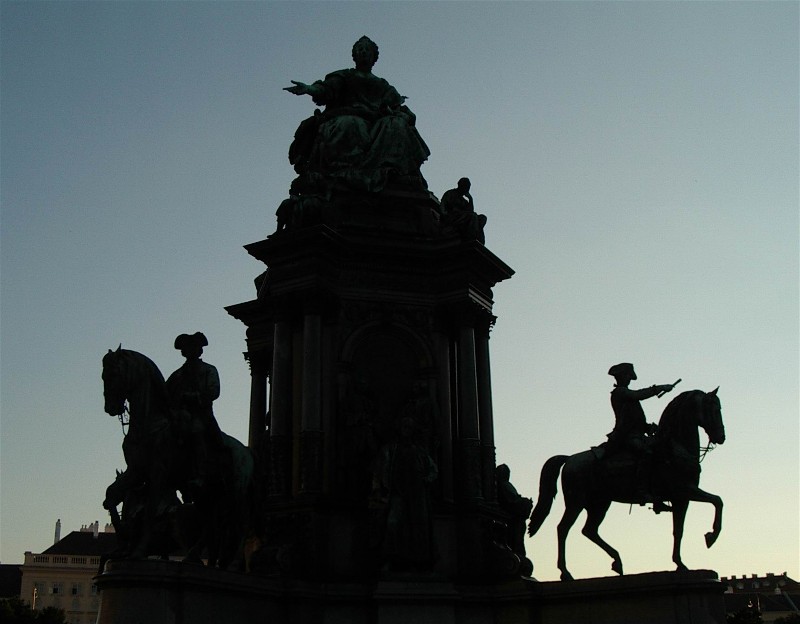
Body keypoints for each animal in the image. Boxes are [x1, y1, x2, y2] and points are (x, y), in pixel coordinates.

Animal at [528, 388, 728, 584]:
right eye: (713, 409)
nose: (721, 437)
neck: (675, 447)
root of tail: (570, 459)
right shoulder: (684, 490)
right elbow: (718, 501)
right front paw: (712, 536)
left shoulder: (681, 499)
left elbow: (679, 530)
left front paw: (680, 563)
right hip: (576, 502)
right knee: (563, 529)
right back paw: (565, 572)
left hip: (600, 504)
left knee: (589, 530)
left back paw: (616, 561)